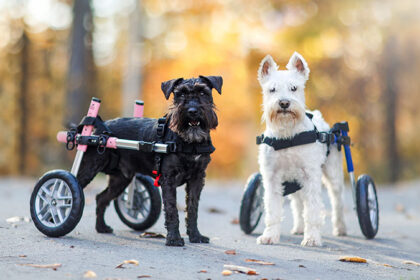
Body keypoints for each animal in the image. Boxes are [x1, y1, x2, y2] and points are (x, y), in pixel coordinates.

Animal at [75, 75, 223, 246]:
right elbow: (172, 209)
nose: (192, 111)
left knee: (101, 198)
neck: (189, 143)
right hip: (89, 168)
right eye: (180, 94)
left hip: (121, 179)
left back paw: (101, 227)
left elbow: (192, 208)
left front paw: (195, 236)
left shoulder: (197, 179)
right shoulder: (169, 178)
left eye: (203, 92)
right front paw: (174, 238)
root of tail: (100, 128)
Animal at [256, 51, 348, 246]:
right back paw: (298, 228)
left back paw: (341, 228)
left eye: (294, 88)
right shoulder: (272, 178)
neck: (287, 136)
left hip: (333, 174)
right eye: (272, 89)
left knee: (337, 201)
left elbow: (312, 210)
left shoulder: (310, 176)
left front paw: (312, 238)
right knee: (297, 204)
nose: (284, 103)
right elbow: (273, 211)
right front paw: (269, 236)